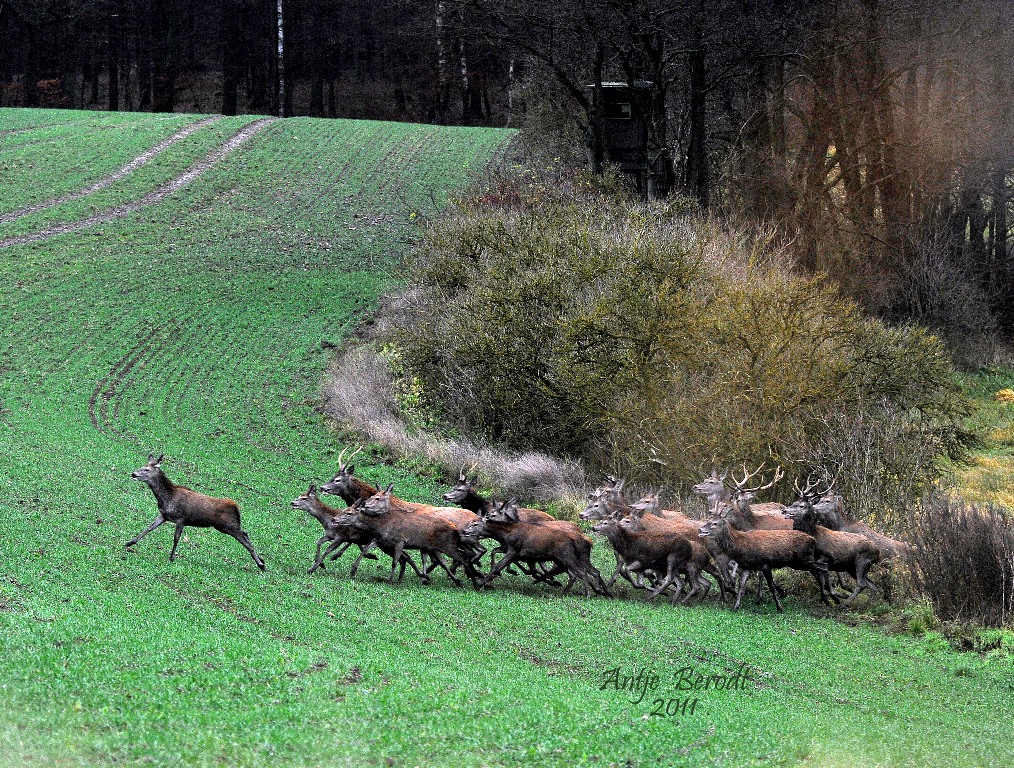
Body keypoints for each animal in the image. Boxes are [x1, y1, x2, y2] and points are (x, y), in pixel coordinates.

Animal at [126, 454, 265, 568]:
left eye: (146, 470)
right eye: (141, 466)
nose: (133, 474)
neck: (167, 497)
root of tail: (237, 507)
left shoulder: (181, 518)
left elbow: (176, 538)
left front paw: (172, 557)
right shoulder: (164, 515)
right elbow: (149, 528)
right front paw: (130, 542)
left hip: (228, 526)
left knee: (245, 539)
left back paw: (261, 565)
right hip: (226, 526)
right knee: (246, 534)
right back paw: (262, 560)